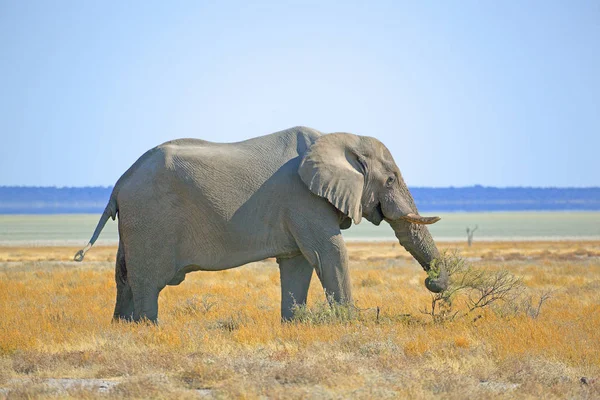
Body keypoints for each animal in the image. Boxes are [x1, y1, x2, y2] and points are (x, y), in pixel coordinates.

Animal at [74, 126, 446, 324]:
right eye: (391, 179)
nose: (433, 285)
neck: (340, 137)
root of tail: (120, 183)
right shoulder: (303, 199)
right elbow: (330, 252)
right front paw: (349, 325)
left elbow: (298, 262)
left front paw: (293, 327)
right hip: (149, 219)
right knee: (147, 282)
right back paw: (148, 330)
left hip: (135, 221)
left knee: (123, 277)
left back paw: (122, 330)